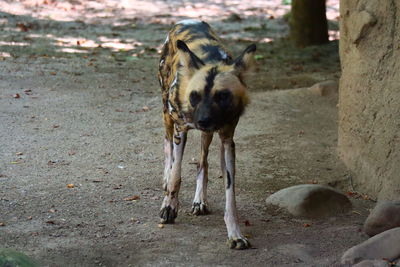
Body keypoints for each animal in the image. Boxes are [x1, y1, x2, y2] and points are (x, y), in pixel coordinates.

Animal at [157, 19, 255, 250]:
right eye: (194, 96)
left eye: (223, 96)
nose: (203, 120)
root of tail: (186, 20)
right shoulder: (180, 131)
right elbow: (176, 175)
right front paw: (169, 207)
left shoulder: (227, 140)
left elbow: (230, 195)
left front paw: (235, 234)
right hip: (167, 117)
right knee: (167, 149)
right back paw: (166, 178)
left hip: (207, 136)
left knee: (202, 163)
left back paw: (199, 200)